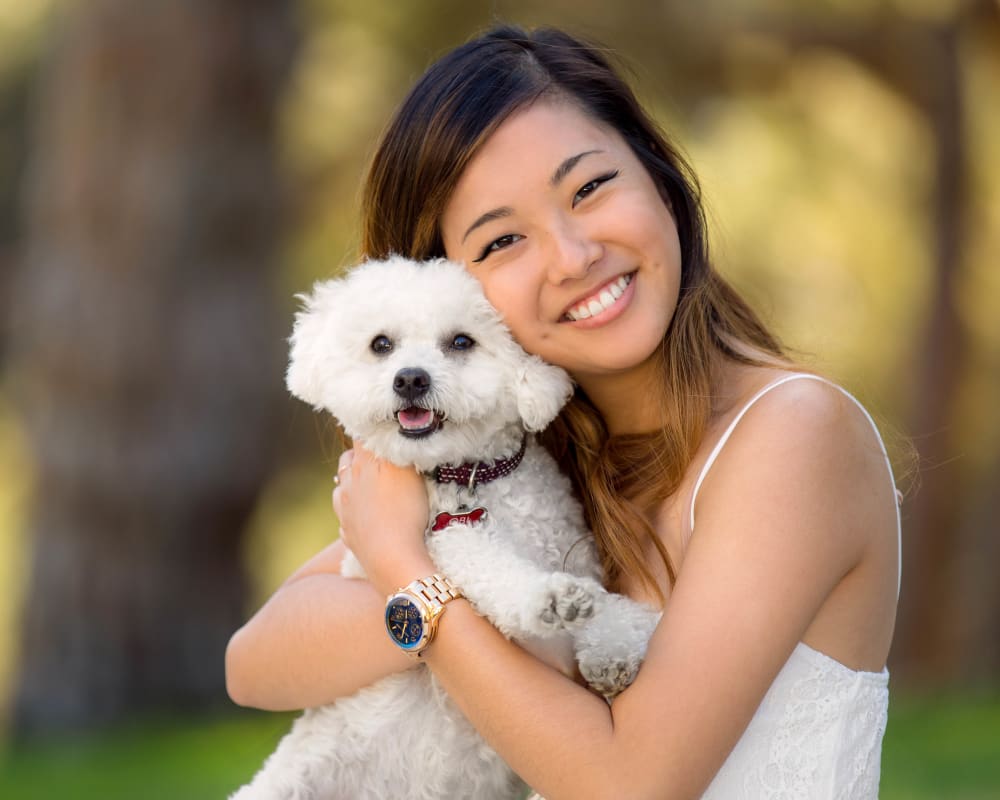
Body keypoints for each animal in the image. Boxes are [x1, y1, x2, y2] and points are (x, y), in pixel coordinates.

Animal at [230, 258, 660, 800]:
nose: (410, 379)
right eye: (381, 344)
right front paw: (548, 599)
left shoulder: (578, 556)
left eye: (460, 342)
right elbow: (498, 574)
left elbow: (620, 609)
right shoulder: (448, 539)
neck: (470, 475)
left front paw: (612, 648)